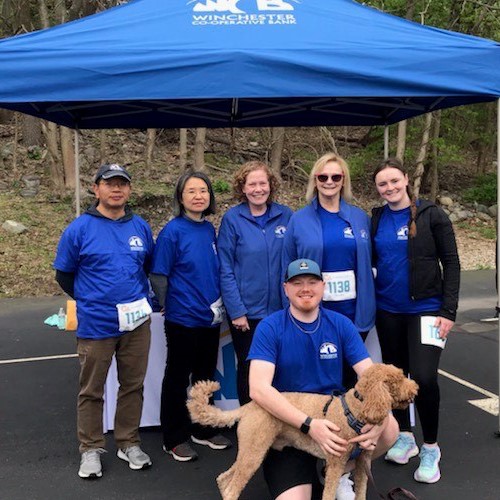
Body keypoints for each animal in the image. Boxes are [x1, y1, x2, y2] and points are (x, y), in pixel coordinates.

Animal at [188, 364, 418, 500]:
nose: (415, 388)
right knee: (232, 488)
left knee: (224, 479)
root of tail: (247, 407)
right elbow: (328, 493)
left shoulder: (363, 462)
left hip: (248, 451)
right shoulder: (336, 462)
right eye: (398, 380)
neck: (354, 410)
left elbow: (360, 492)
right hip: (253, 451)